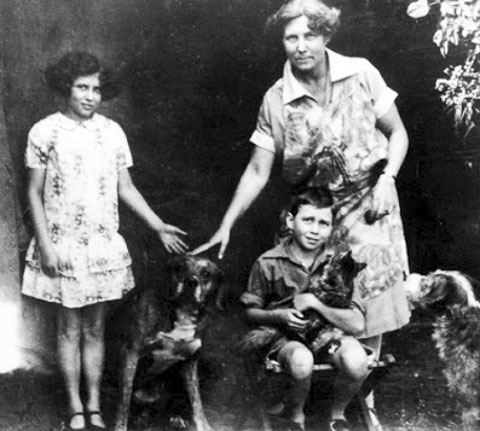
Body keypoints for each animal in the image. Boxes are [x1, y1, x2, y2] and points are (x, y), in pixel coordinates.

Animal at [113, 255, 223, 431]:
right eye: (180, 267)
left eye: (206, 273)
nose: (191, 281)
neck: (183, 311)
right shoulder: (130, 353)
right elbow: (124, 400)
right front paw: (120, 426)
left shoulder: (191, 361)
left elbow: (196, 399)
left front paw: (203, 424)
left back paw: (175, 415)